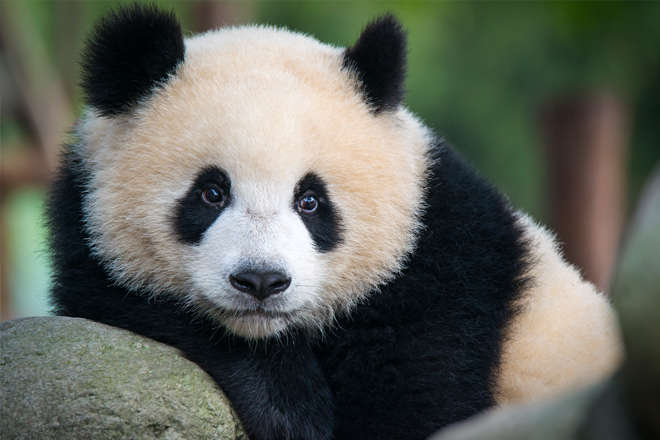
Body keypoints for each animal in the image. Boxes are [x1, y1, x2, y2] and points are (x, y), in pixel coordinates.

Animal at [49, 4, 620, 440]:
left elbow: (413, 408)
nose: (261, 281)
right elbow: (119, 295)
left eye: (310, 201)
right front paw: (289, 405)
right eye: (211, 193)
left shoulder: (443, 277)